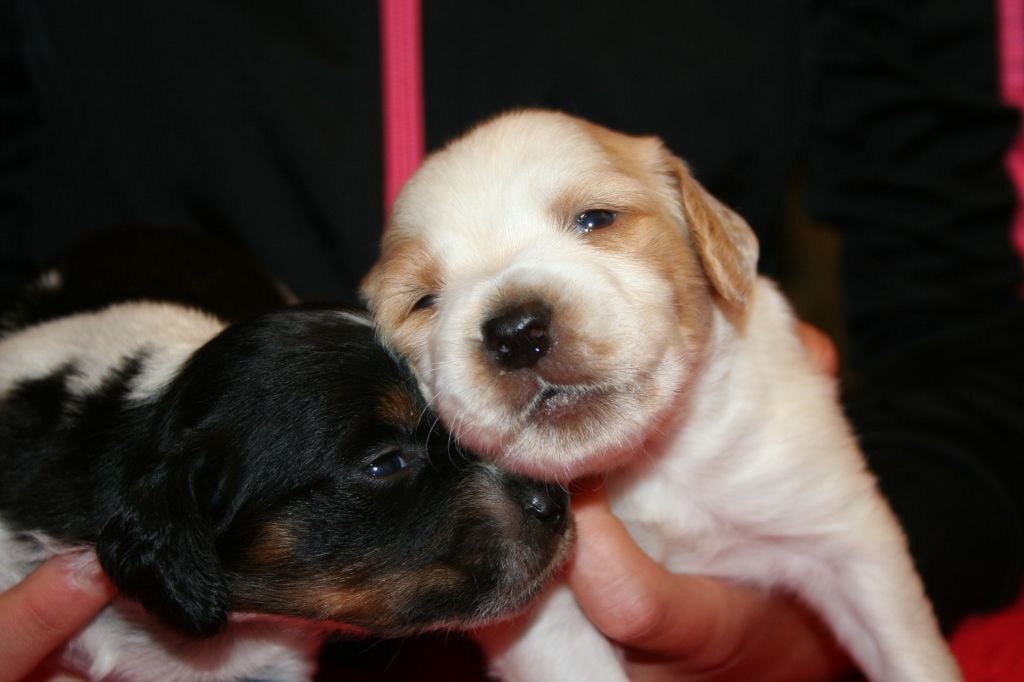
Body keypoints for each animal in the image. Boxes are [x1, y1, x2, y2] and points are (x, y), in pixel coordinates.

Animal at [362, 109, 958, 675]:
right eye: (422, 301)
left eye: (596, 218)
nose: (515, 333)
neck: (643, 466)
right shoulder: (540, 616)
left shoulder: (846, 535)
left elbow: (908, 651)